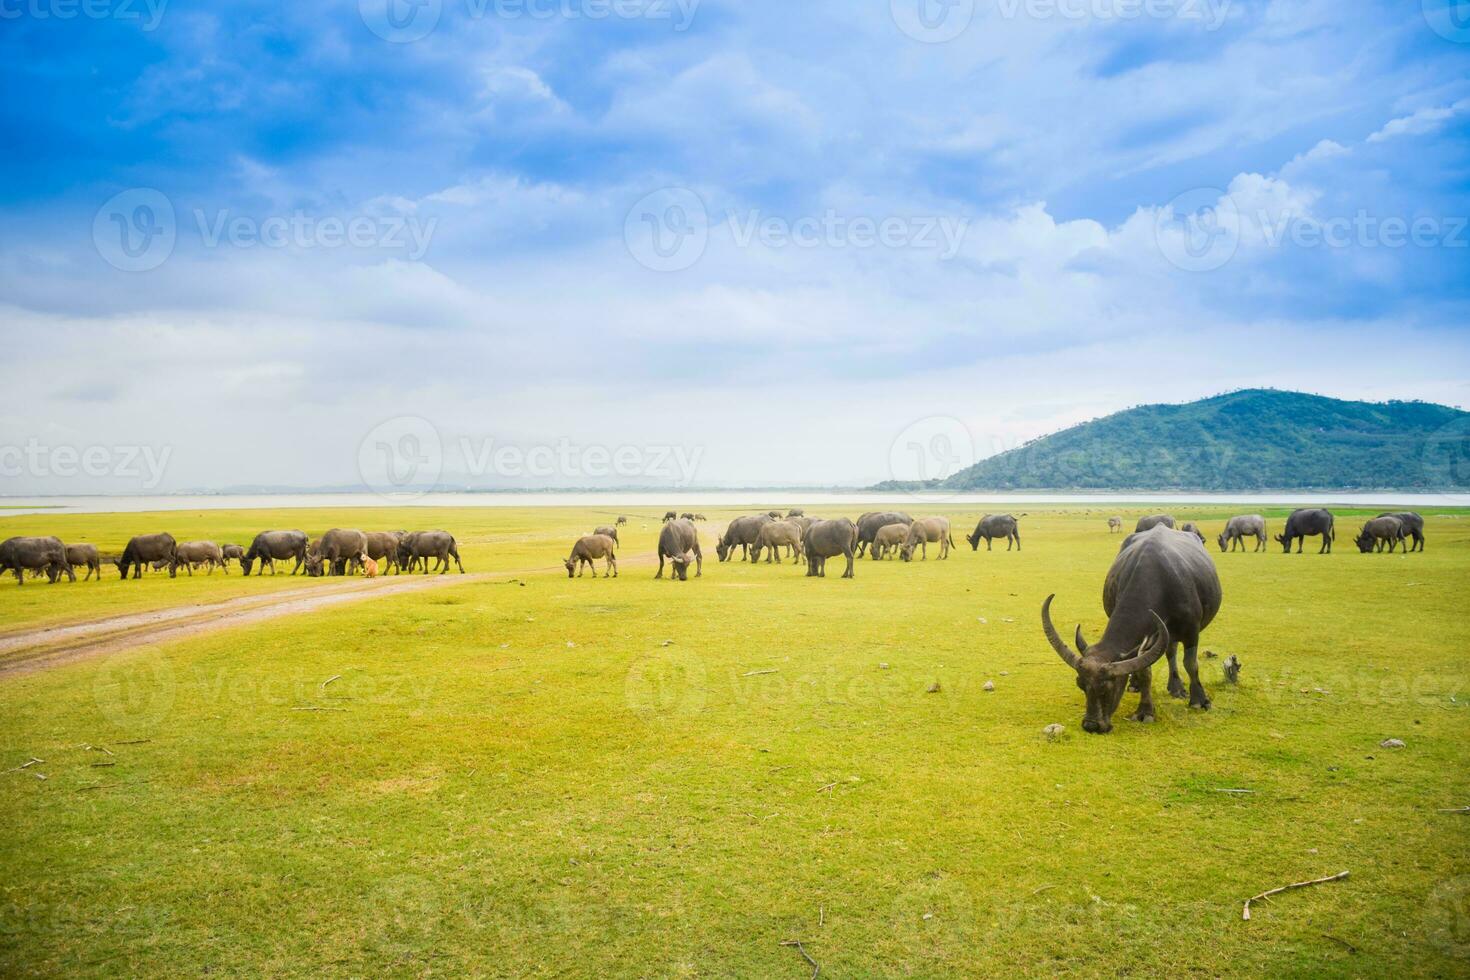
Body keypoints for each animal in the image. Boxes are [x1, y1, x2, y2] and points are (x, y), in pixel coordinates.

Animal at [1040, 525, 1223, 731]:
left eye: (1108, 686)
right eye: (1081, 684)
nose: (1091, 725)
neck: (1157, 579)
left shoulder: (1192, 631)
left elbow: (1190, 663)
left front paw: (1199, 700)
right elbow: (1145, 671)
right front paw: (1145, 710)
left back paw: (1177, 688)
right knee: (1167, 651)